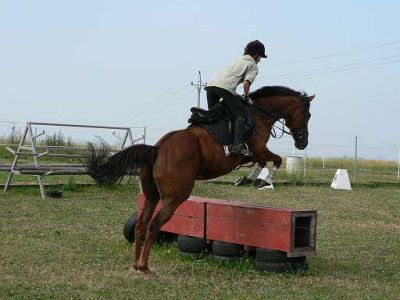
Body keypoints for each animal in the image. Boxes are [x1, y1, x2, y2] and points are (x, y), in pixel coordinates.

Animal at [85, 85, 316, 274]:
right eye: (307, 114)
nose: (302, 143)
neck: (259, 114)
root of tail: (157, 149)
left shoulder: (254, 153)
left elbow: (262, 163)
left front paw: (248, 179)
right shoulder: (258, 148)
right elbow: (275, 160)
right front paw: (262, 181)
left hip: (151, 195)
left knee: (141, 225)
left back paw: (135, 264)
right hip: (176, 196)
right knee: (154, 225)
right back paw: (144, 267)